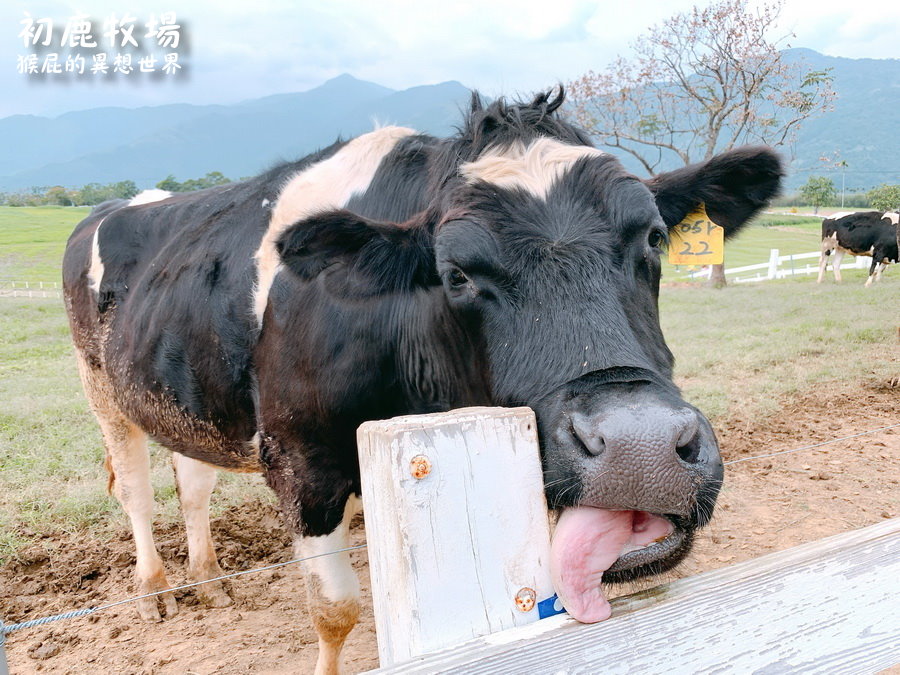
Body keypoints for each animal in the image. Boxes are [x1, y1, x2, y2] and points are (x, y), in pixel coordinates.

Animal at [63, 91, 780, 675]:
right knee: (134, 488)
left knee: (192, 484)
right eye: (456, 272)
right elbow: (336, 609)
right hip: (101, 389)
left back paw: (209, 579)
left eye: (655, 239)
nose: (642, 450)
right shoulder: (300, 461)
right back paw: (154, 590)